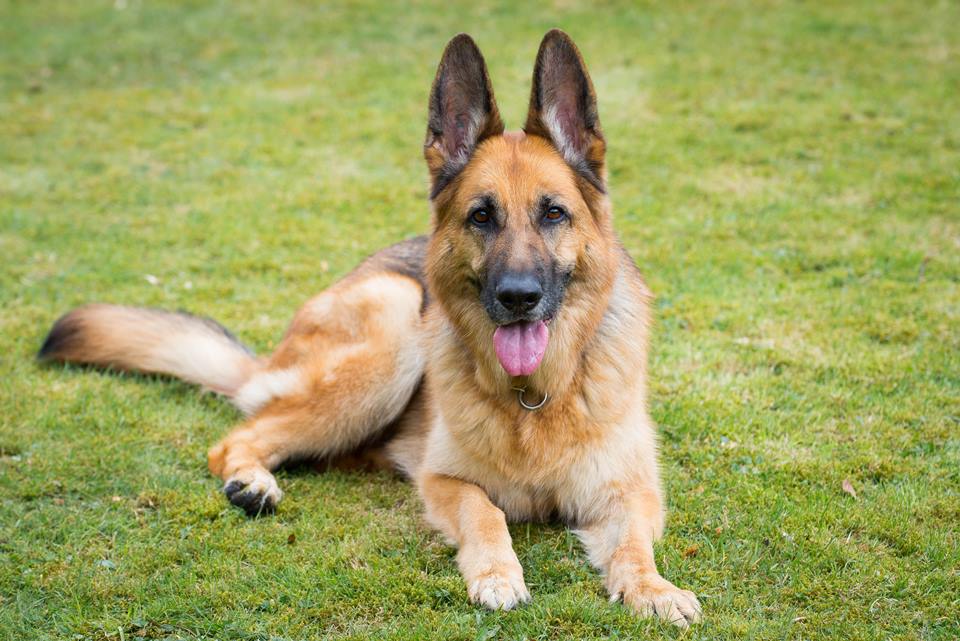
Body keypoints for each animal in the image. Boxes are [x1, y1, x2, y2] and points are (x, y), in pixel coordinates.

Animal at [37, 30, 700, 624]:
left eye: (554, 213)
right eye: (481, 216)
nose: (517, 297)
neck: (532, 398)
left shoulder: (631, 492)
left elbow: (634, 547)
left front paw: (654, 590)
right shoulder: (444, 480)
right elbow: (485, 513)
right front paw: (496, 574)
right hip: (394, 327)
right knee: (237, 437)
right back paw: (252, 481)